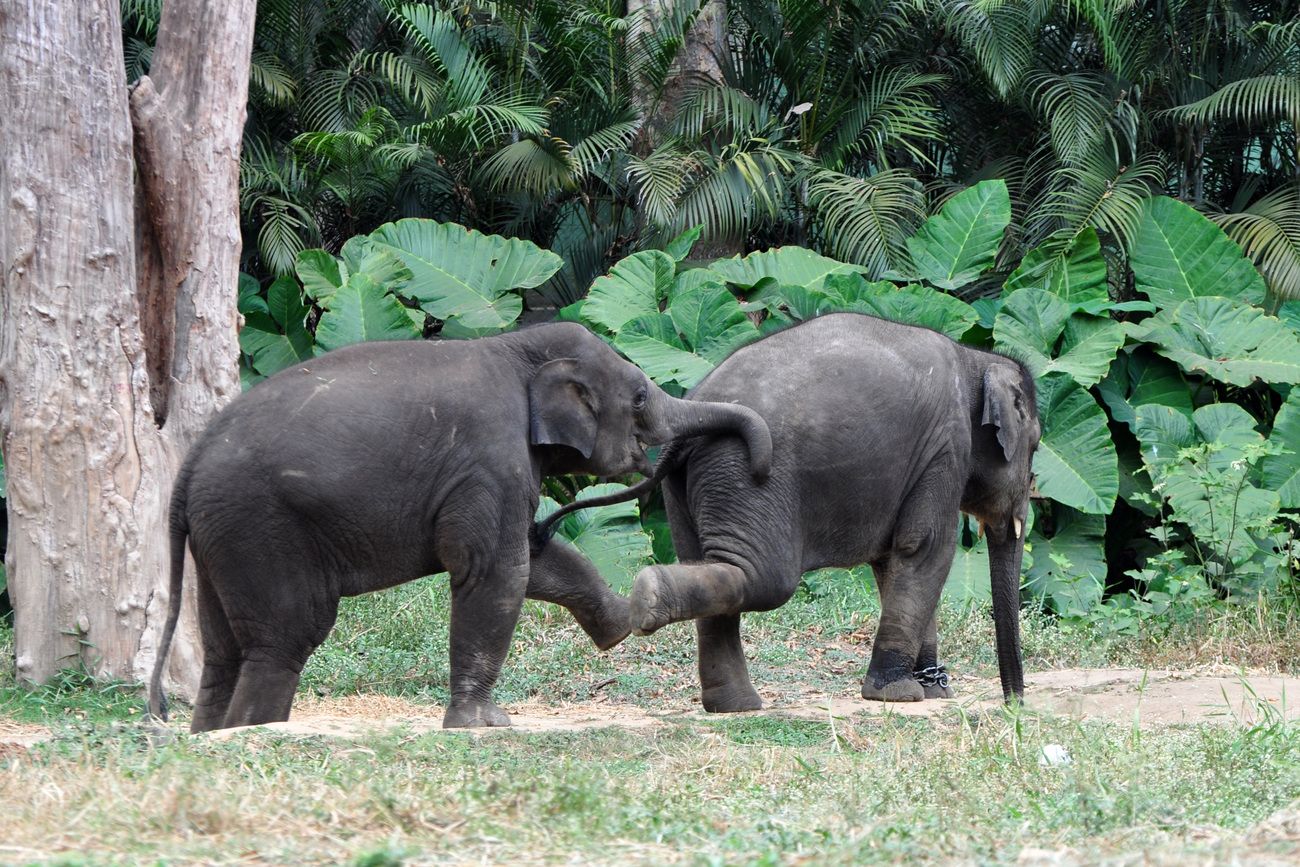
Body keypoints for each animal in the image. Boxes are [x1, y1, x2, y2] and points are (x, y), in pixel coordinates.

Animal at [149, 321, 769, 733]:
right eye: (639, 396)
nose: (761, 467)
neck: (516, 346)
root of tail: (188, 469)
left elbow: (533, 562)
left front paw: (621, 622)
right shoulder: (490, 459)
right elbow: (497, 570)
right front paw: (485, 725)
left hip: (221, 537)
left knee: (223, 647)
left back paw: (209, 735)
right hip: (262, 528)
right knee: (285, 638)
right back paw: (255, 732)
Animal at [535, 311, 1034, 712]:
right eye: (1033, 449)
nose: (1015, 704)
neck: (974, 358)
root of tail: (689, 410)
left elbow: (892, 560)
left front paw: (929, 691)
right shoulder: (945, 448)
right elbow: (926, 548)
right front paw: (899, 695)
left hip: (690, 486)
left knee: (713, 564)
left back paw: (734, 705)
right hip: (748, 478)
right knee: (765, 577)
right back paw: (650, 597)